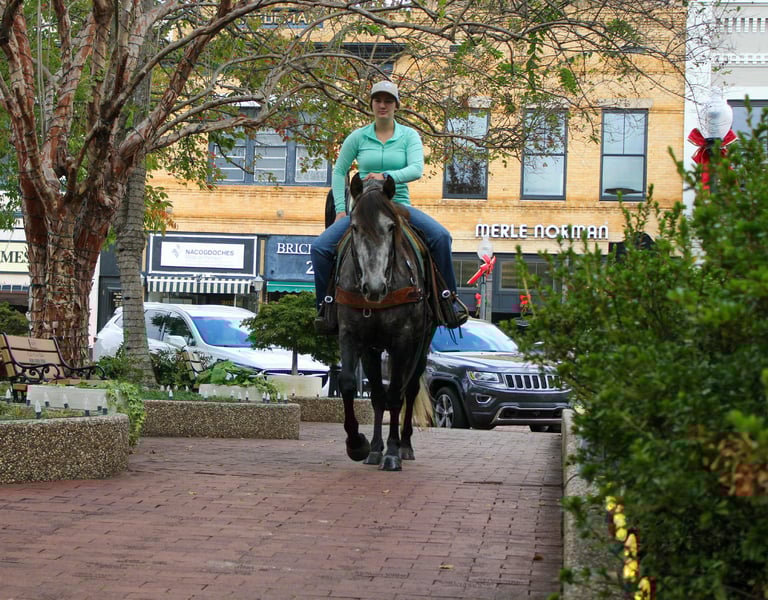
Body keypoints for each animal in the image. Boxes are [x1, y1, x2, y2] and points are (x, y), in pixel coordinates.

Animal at [334, 173, 436, 471]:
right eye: (354, 227)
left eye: (391, 227)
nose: (375, 287)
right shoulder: (353, 336)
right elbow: (354, 385)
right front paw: (360, 445)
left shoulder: (402, 340)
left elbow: (395, 396)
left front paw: (392, 452)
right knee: (380, 395)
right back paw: (376, 449)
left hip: (421, 344)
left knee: (409, 389)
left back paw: (405, 446)